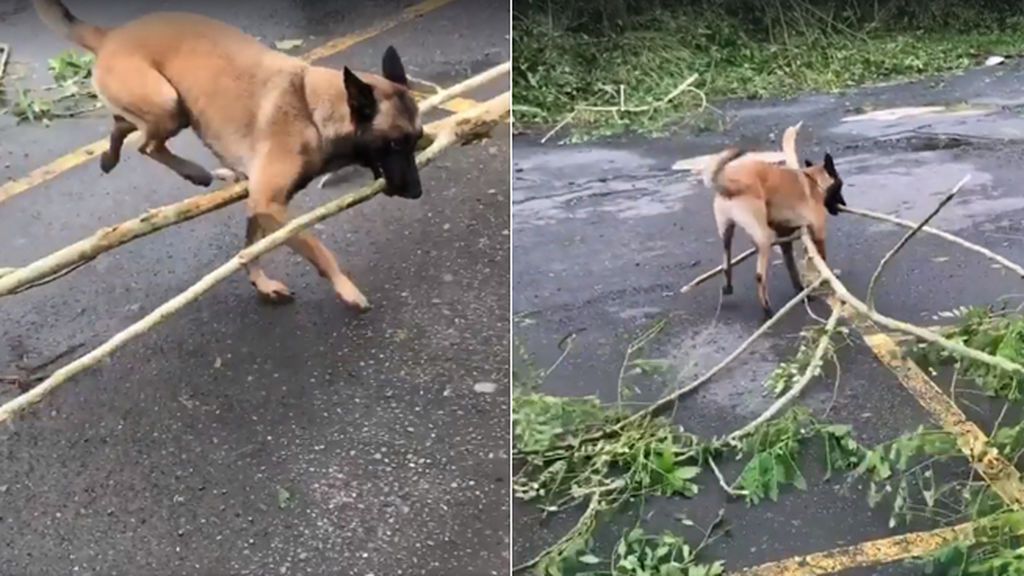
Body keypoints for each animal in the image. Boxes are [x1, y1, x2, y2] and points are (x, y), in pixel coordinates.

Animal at [32, 0, 423, 309]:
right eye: (393, 144)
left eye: (417, 139)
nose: (417, 193)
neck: (311, 107)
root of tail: (111, 34)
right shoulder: (269, 202)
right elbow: (315, 247)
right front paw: (345, 288)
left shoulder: (260, 202)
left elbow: (250, 248)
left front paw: (260, 281)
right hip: (167, 103)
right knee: (146, 143)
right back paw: (193, 171)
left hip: (172, 110)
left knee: (122, 125)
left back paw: (110, 158)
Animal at [700, 128, 843, 317]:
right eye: (840, 186)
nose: (844, 205)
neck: (813, 180)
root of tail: (730, 183)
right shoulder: (818, 233)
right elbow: (821, 259)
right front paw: (823, 281)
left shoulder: (785, 241)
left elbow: (792, 268)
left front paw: (801, 290)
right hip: (764, 238)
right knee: (759, 276)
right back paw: (767, 309)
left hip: (727, 232)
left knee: (726, 262)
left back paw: (728, 287)